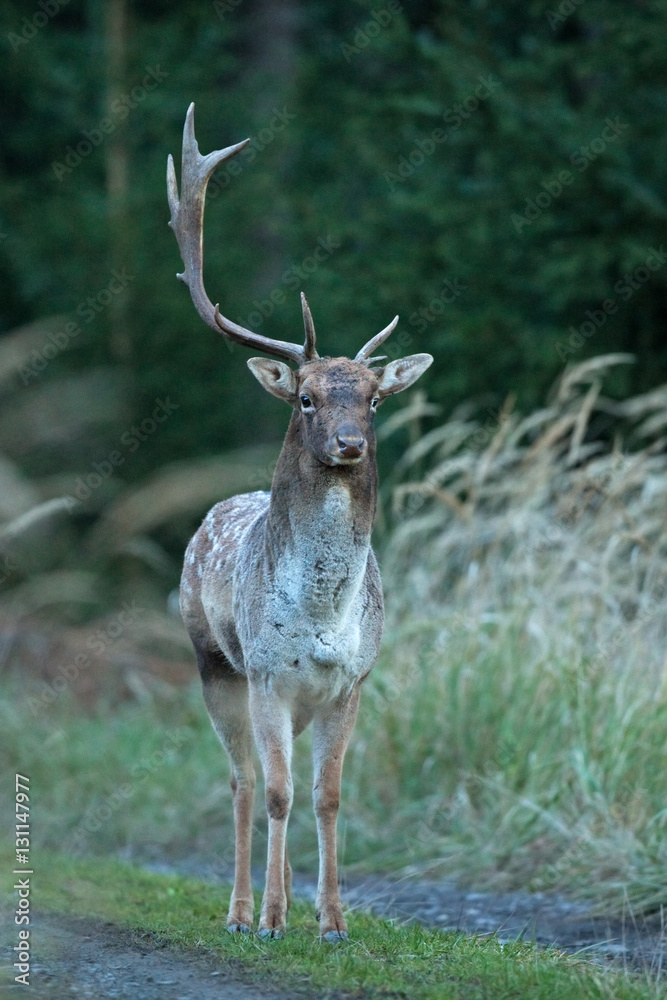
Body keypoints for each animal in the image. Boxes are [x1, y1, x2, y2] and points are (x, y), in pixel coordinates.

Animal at [168, 104, 433, 942]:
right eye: (307, 397)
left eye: (372, 398)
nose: (349, 444)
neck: (319, 616)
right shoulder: (266, 674)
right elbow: (279, 792)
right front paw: (275, 919)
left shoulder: (352, 680)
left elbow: (328, 796)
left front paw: (335, 920)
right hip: (213, 664)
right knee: (244, 782)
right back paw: (241, 910)